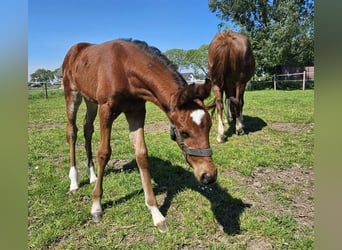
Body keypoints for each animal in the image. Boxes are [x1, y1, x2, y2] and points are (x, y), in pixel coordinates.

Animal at [61, 38, 216, 232]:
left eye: (210, 127)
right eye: (183, 132)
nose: (209, 175)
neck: (125, 68)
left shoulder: (136, 111)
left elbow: (141, 154)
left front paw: (156, 213)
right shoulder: (106, 109)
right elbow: (104, 153)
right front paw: (96, 206)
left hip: (90, 99)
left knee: (87, 128)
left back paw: (92, 175)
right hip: (72, 94)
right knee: (72, 132)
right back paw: (74, 181)